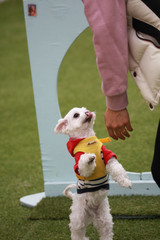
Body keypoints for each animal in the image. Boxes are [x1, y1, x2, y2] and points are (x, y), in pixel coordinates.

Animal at [54, 107, 132, 240]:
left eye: (84, 109)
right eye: (76, 115)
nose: (88, 113)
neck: (87, 140)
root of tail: (91, 213)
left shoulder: (108, 156)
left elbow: (117, 169)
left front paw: (126, 182)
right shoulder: (80, 166)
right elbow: (85, 165)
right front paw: (89, 158)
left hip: (104, 217)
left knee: (105, 232)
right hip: (78, 217)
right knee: (77, 232)